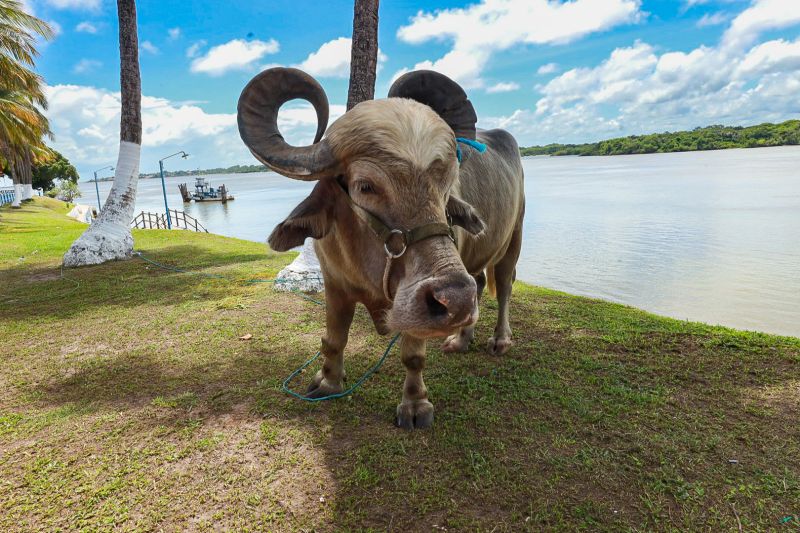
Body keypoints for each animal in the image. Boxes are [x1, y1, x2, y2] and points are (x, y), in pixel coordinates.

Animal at [238, 67, 524, 428]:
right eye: (365, 186)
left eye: (446, 184)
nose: (456, 300)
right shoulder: (334, 284)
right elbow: (333, 339)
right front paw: (328, 381)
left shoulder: (416, 305)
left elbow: (413, 356)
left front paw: (415, 405)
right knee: (481, 281)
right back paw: (461, 339)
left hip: (514, 239)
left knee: (504, 288)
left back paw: (499, 339)